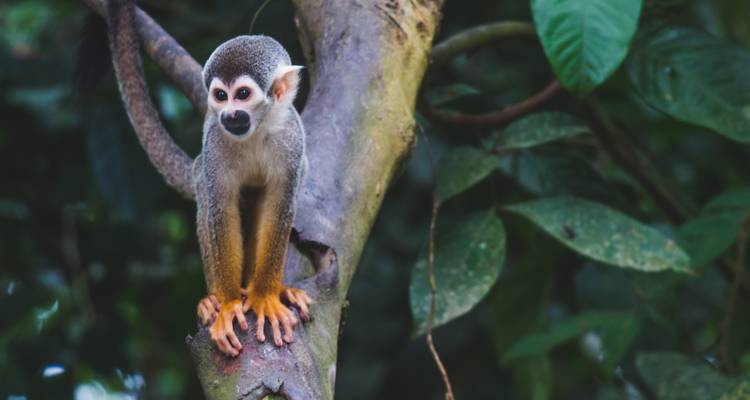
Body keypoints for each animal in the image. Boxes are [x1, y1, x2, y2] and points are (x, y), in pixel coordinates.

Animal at [105, 0, 311, 357]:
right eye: (220, 95)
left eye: (242, 94)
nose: (229, 114)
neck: (257, 129)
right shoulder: (215, 140)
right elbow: (220, 208)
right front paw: (228, 305)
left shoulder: (292, 139)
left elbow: (280, 204)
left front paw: (265, 296)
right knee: (206, 192)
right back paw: (212, 300)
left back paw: (276, 288)